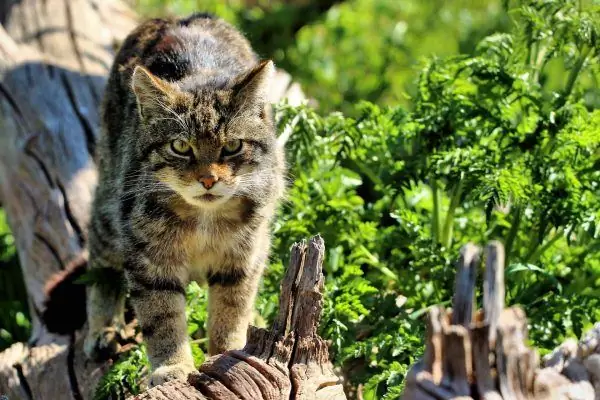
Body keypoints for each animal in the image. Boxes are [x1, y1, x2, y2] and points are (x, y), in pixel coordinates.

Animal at [84, 12, 286, 386]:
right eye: (180, 146)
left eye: (232, 146)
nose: (208, 179)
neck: (204, 219)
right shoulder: (149, 258)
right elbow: (162, 317)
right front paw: (172, 367)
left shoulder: (244, 255)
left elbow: (231, 310)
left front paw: (227, 352)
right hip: (108, 202)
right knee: (99, 258)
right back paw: (102, 327)